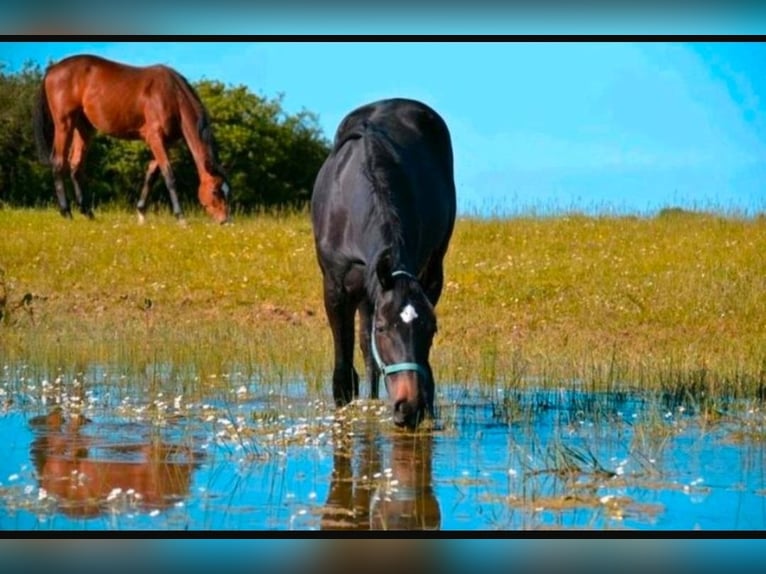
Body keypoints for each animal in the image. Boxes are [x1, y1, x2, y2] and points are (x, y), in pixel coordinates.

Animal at [33, 54, 231, 224]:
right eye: (215, 191)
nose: (225, 220)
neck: (172, 94)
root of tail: (53, 69)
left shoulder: (165, 143)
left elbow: (151, 174)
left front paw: (141, 212)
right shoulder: (155, 138)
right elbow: (169, 175)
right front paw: (180, 217)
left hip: (84, 128)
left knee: (76, 166)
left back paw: (88, 213)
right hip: (64, 124)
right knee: (59, 163)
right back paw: (66, 212)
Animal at [311, 98, 457, 429]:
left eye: (432, 328)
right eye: (383, 328)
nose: (409, 406)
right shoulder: (335, 289)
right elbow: (344, 376)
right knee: (366, 351)